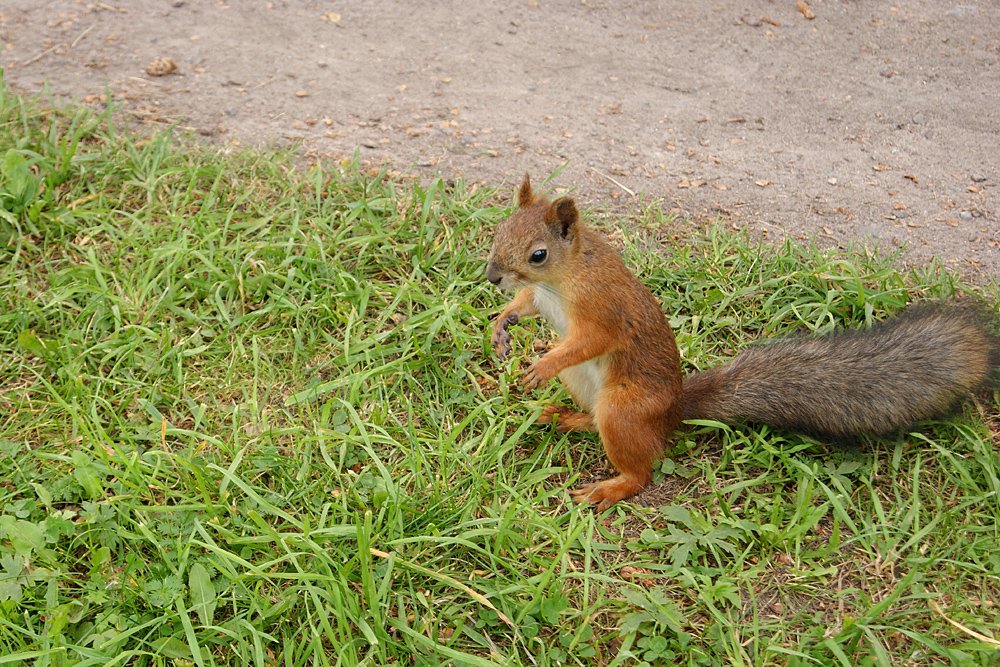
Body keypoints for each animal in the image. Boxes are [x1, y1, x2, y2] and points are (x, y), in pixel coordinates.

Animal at [486, 176, 1000, 512]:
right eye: (498, 231)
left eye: (538, 253)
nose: (491, 276)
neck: (561, 279)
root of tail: (672, 411)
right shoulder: (538, 298)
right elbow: (522, 305)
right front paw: (500, 324)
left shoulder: (603, 309)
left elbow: (589, 340)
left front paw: (542, 364)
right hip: (587, 389)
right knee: (595, 421)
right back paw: (568, 418)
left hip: (624, 409)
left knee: (641, 469)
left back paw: (609, 487)